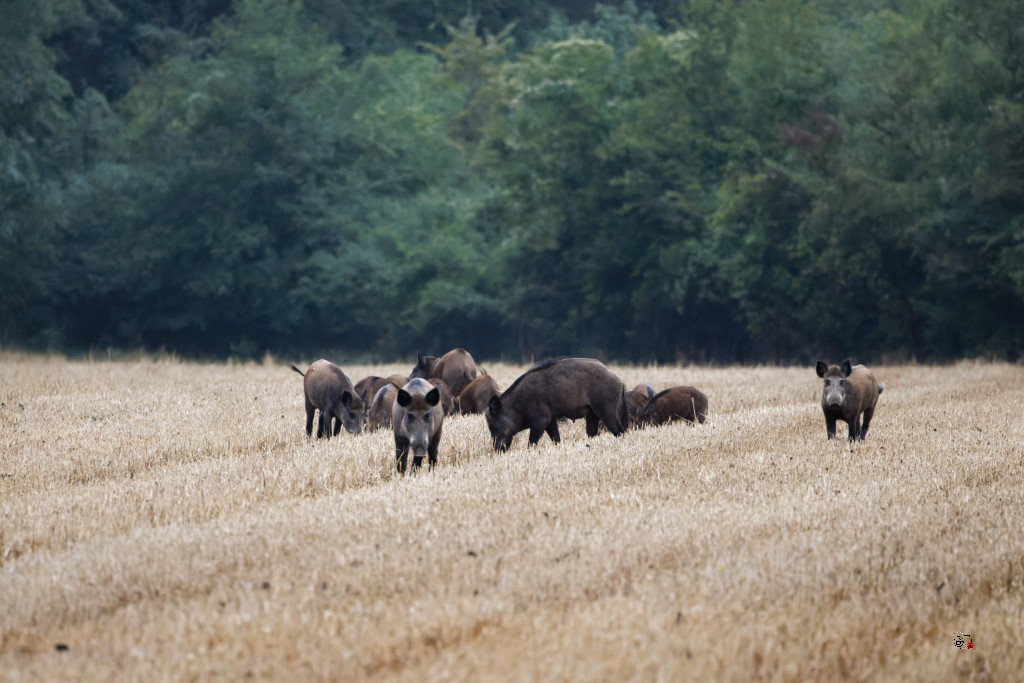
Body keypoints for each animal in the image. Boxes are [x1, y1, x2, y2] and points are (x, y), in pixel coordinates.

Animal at [485, 357, 628, 451]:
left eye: (492, 425)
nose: (497, 450)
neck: (518, 405)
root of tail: (620, 381)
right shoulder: (550, 419)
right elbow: (556, 438)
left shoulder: (541, 420)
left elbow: (532, 442)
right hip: (592, 415)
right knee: (592, 433)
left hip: (607, 411)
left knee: (620, 431)